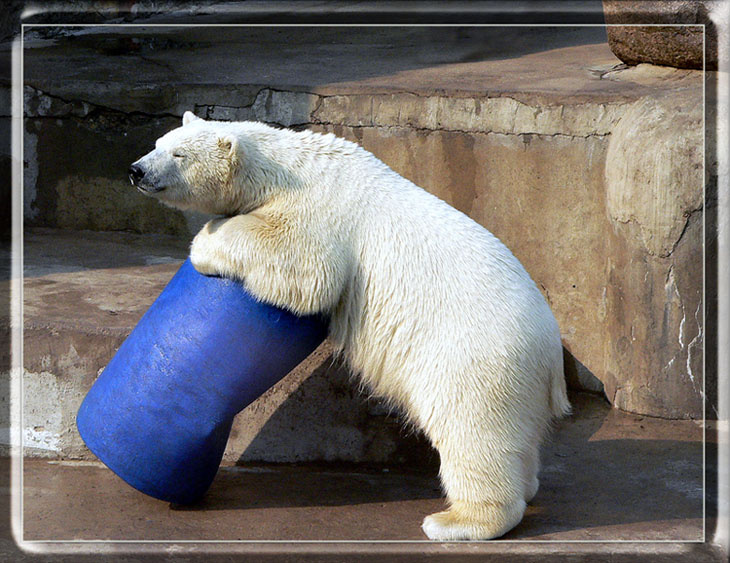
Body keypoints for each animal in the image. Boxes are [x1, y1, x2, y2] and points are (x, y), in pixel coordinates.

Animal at [129, 111, 571, 541]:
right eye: (158, 144)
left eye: (179, 155)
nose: (136, 169)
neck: (288, 167)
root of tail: (551, 355)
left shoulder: (318, 213)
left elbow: (303, 263)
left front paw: (205, 242)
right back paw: (525, 486)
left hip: (474, 361)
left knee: (472, 433)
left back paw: (455, 521)